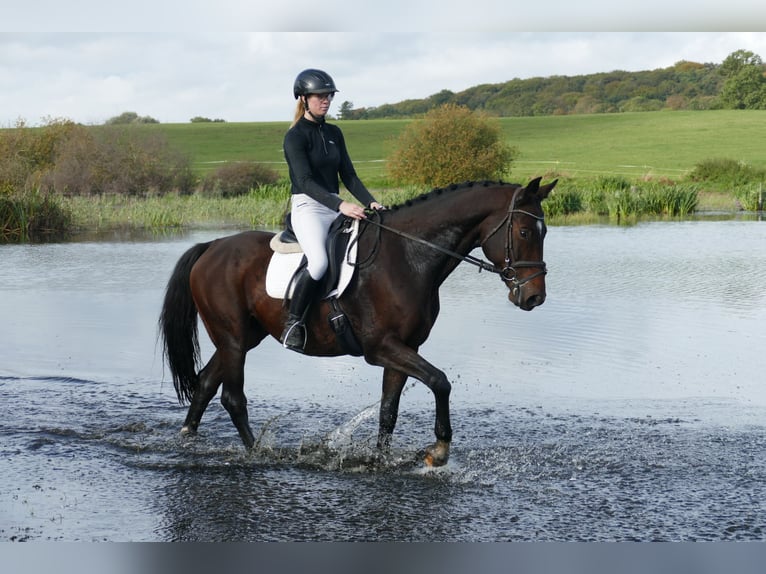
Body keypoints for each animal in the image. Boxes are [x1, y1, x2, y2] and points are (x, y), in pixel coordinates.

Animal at [160, 179, 560, 468]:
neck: (409, 256)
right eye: (525, 232)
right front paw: (439, 450)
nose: (533, 297)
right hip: (234, 339)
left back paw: (187, 439)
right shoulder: (380, 347)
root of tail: (212, 246)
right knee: (232, 397)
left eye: (544, 233)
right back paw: (259, 452)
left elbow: (388, 411)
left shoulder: (404, 348)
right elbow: (440, 381)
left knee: (206, 383)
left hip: (240, 339)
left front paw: (382, 460)